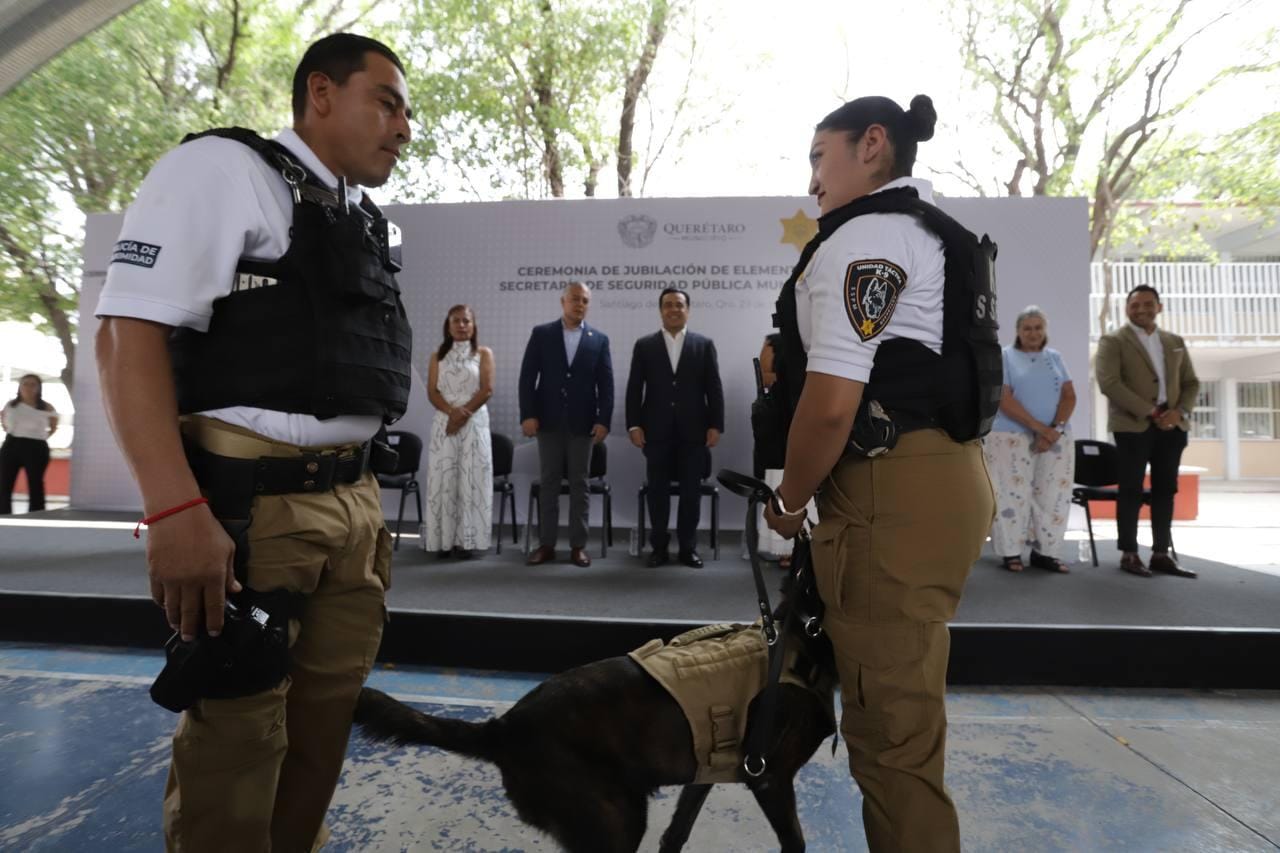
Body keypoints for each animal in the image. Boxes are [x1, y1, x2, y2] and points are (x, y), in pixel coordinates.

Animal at [353, 573, 839, 845]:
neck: (801, 633)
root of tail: (503, 727)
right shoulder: (770, 780)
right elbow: (794, 842)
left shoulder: (707, 772)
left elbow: (675, 833)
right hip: (615, 822)